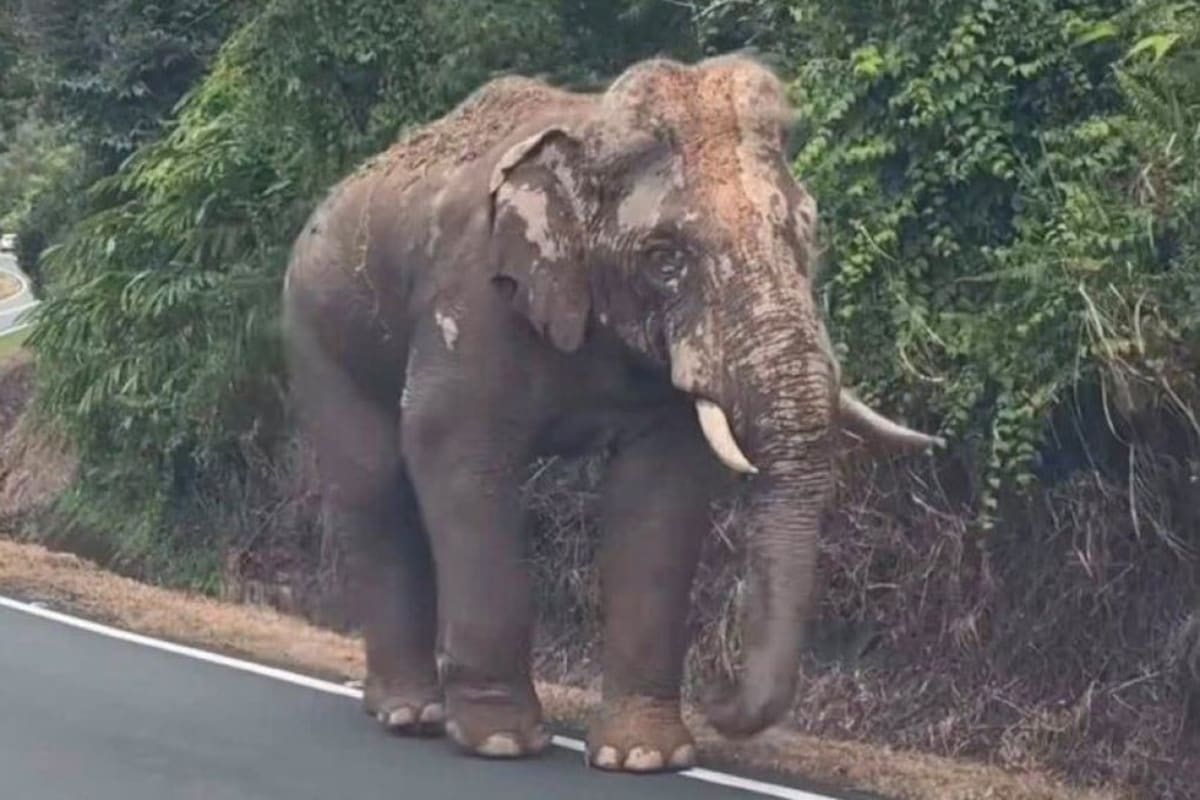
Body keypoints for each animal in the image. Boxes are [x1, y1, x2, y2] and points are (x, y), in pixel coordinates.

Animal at [282, 53, 944, 774]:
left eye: (807, 232)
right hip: (318, 331)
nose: (717, 692)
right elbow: (452, 449)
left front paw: (644, 757)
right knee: (373, 488)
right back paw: (410, 714)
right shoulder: (470, 296)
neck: (590, 131)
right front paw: (501, 742)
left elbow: (661, 489)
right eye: (665, 258)